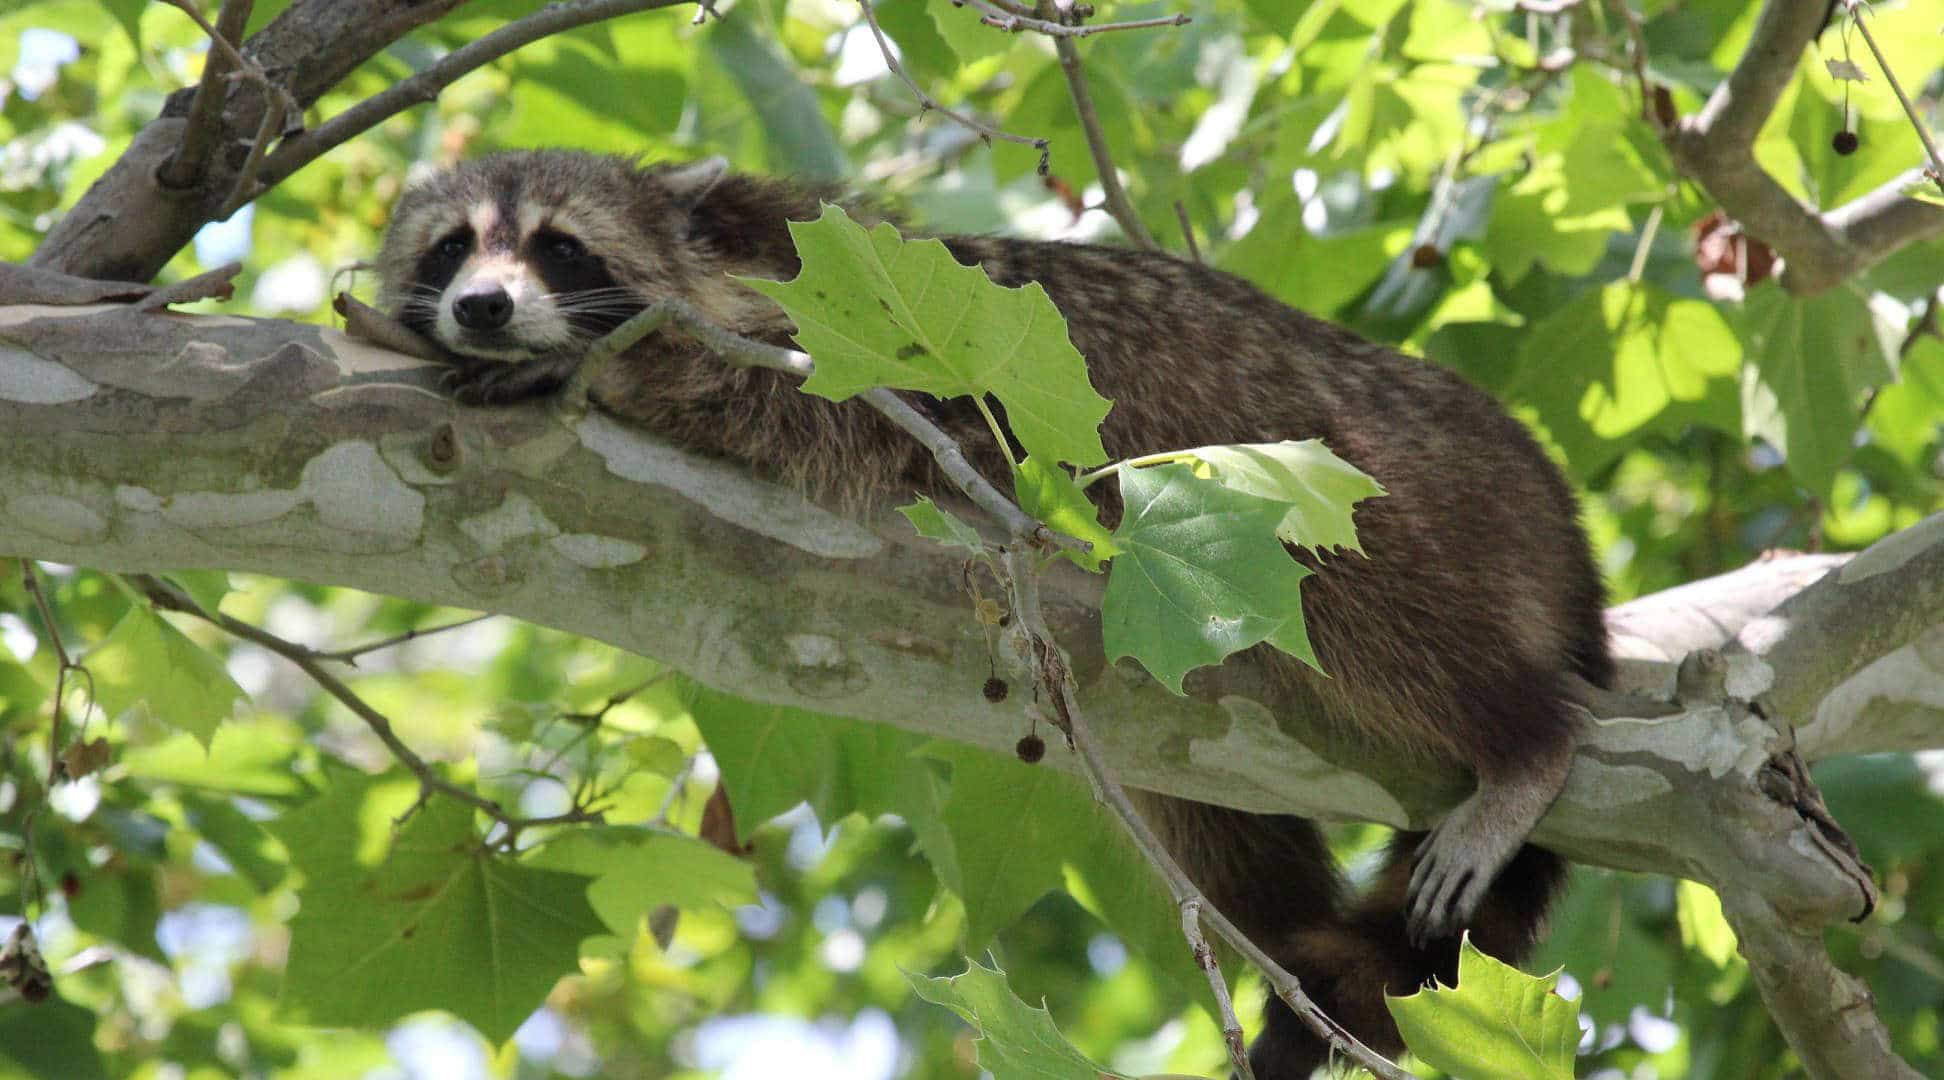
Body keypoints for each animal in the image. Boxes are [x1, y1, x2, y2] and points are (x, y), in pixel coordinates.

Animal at [375, 149, 1609, 1072]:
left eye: (558, 245)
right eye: (451, 247)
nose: (481, 307)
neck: (733, 246)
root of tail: (1554, 501)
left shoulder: (881, 358)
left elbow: (792, 402)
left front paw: (617, 370)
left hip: (1373, 503)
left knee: (1389, 621)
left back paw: (1522, 739)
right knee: (1198, 804)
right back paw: (1299, 945)